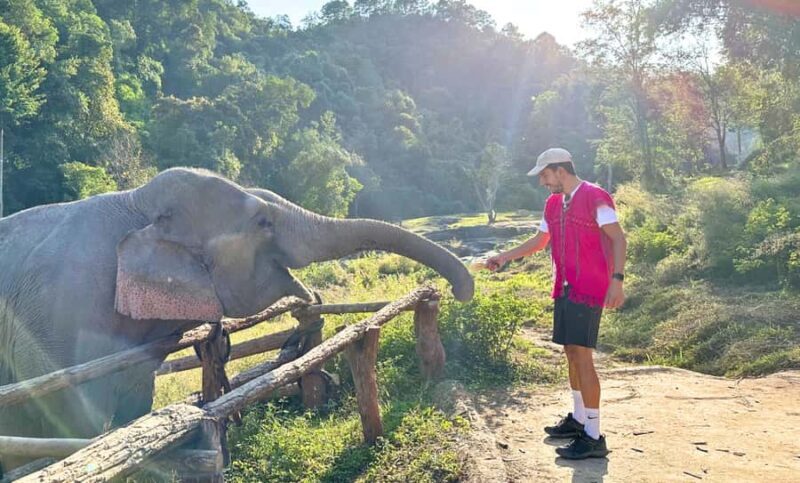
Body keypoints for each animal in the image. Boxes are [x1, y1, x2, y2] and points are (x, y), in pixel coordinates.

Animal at [0, 168, 473, 471]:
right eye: (263, 222)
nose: (459, 291)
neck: (133, 202)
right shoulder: (56, 322)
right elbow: (79, 426)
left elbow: (135, 409)